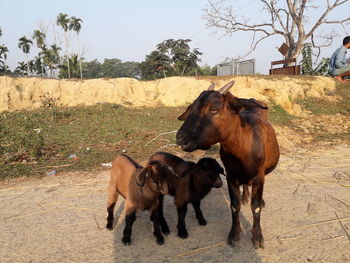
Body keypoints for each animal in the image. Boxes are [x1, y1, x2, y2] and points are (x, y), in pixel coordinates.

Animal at [176, 82, 280, 250]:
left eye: (213, 109)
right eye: (192, 108)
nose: (180, 137)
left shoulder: (258, 177)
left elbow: (256, 207)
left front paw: (257, 237)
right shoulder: (231, 177)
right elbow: (234, 206)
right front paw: (234, 235)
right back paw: (245, 196)